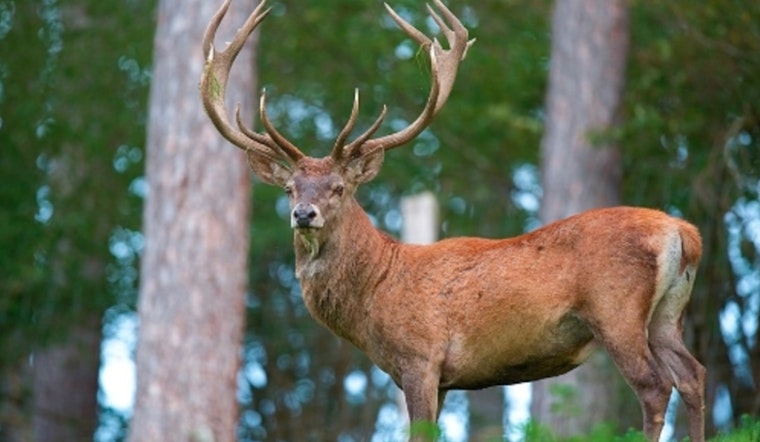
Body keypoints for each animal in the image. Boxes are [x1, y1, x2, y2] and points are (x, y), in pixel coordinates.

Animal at [200, 0, 706, 440]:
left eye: (339, 188)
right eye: (290, 189)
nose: (304, 214)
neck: (375, 293)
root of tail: (684, 233)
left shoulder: (420, 359)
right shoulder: (441, 378)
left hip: (615, 309)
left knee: (654, 386)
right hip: (666, 316)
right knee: (693, 375)